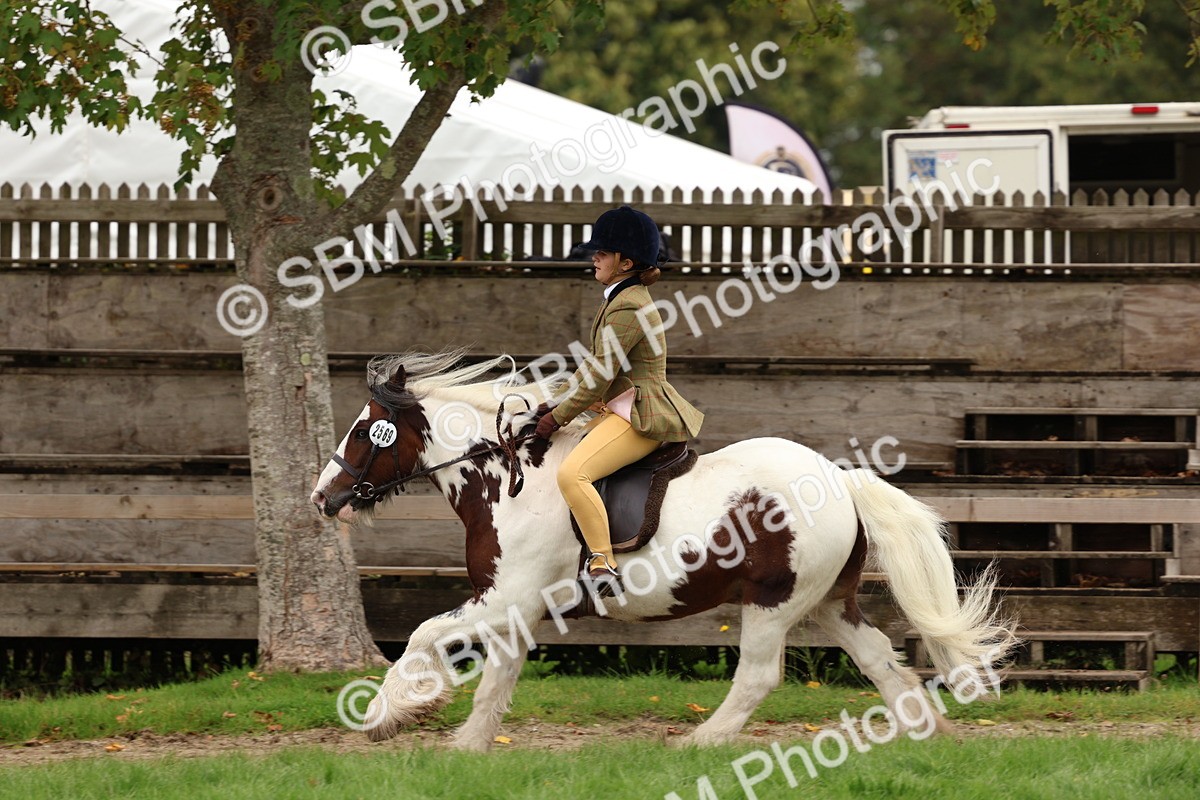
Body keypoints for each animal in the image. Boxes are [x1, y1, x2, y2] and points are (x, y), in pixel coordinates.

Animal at [311, 350, 1017, 751]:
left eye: (363, 430)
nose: (322, 497)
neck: (506, 476)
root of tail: (841, 480)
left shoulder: (504, 598)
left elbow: (424, 633)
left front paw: (389, 714)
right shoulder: (516, 609)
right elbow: (495, 681)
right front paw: (466, 746)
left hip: (773, 603)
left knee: (759, 676)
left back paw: (699, 741)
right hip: (826, 603)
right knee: (879, 661)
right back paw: (928, 734)